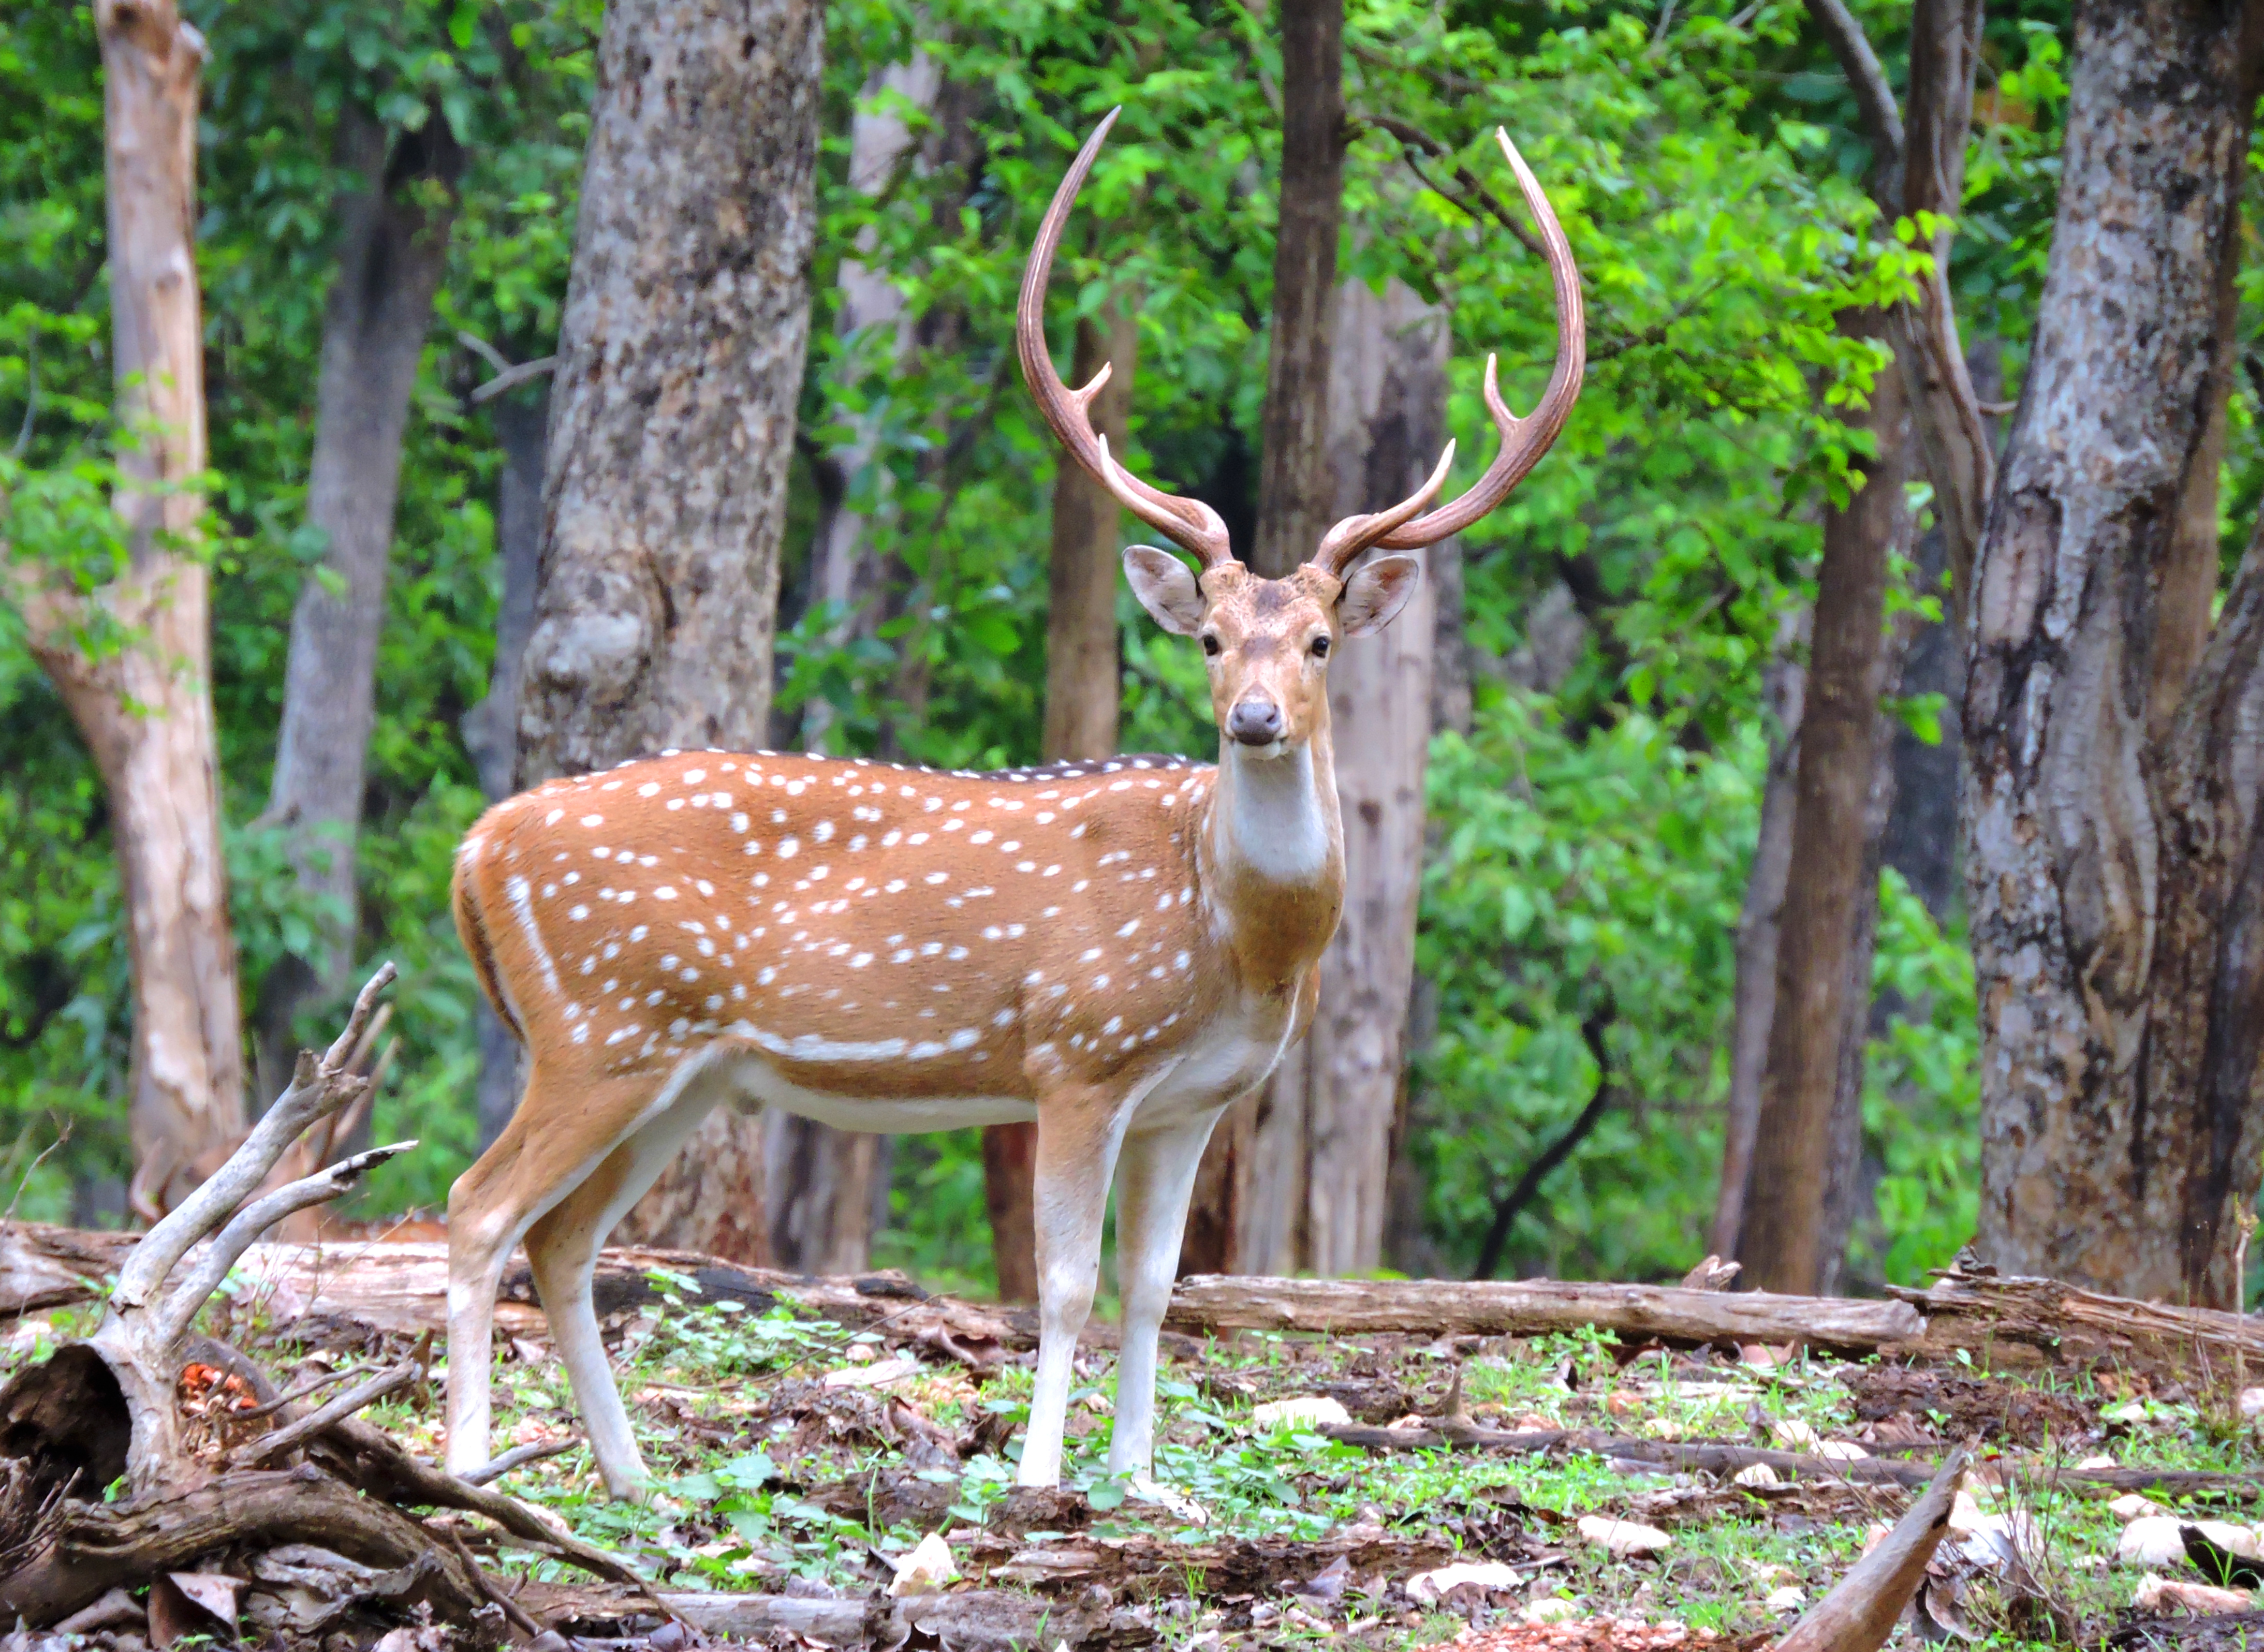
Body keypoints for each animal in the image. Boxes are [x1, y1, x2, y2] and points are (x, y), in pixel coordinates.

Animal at [437, 116, 1576, 1493]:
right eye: (1207, 640)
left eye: (1314, 643)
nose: (1252, 720)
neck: (1235, 942)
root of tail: (475, 848)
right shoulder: (1077, 1053)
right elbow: (1065, 1282)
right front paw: (1039, 1477)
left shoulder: (1194, 1101)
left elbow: (1157, 1289)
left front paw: (1140, 1483)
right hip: (597, 1028)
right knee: (476, 1211)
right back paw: (466, 1466)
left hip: (686, 1071)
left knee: (564, 1241)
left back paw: (633, 1481)